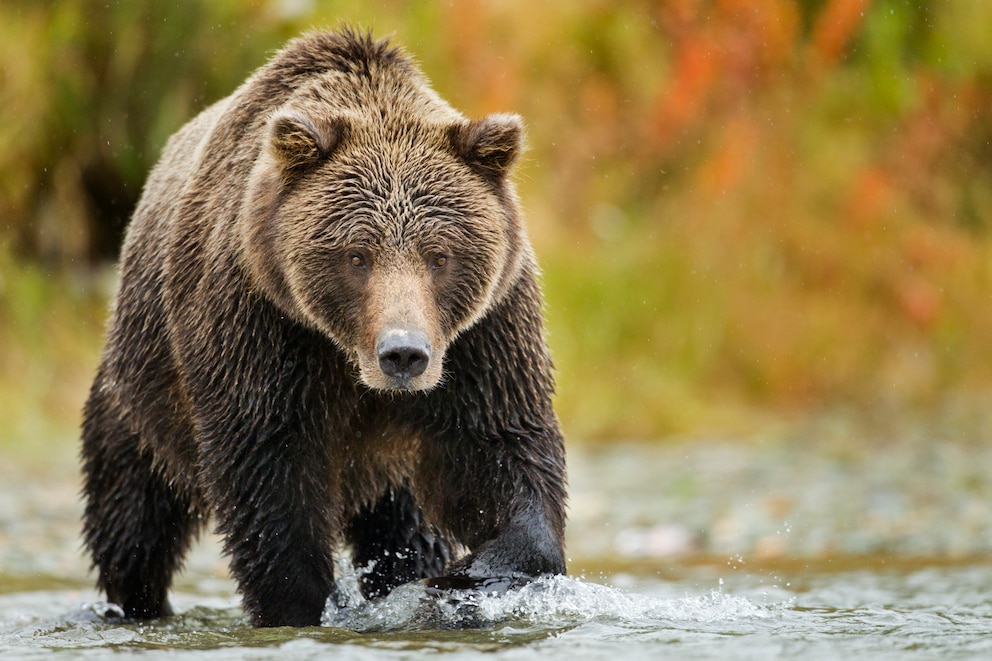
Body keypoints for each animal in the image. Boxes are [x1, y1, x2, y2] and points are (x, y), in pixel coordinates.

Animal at [77, 28, 564, 628]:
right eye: (357, 256)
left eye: (440, 256)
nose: (403, 353)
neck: (347, 358)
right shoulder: (260, 324)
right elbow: (269, 472)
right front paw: (303, 602)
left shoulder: (484, 334)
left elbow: (498, 447)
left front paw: (471, 574)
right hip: (142, 394)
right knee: (132, 518)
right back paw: (137, 603)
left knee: (405, 528)